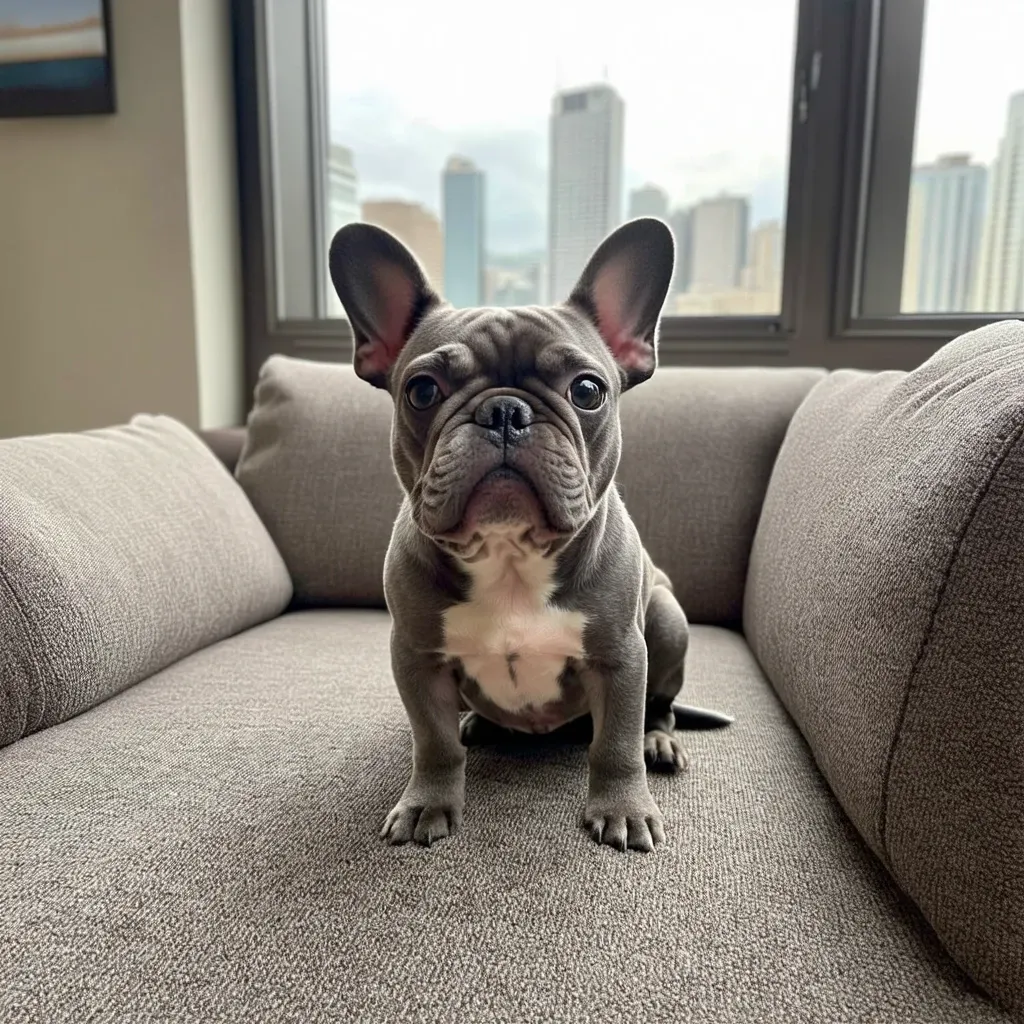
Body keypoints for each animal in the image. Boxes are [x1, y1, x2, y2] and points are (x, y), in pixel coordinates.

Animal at [327, 218, 729, 856]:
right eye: (422, 390)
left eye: (587, 390)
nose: (505, 412)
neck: (509, 553)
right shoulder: (415, 658)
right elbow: (433, 742)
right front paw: (427, 803)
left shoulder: (622, 656)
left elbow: (614, 743)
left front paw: (623, 809)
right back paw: (479, 723)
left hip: (667, 618)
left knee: (658, 709)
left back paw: (659, 742)